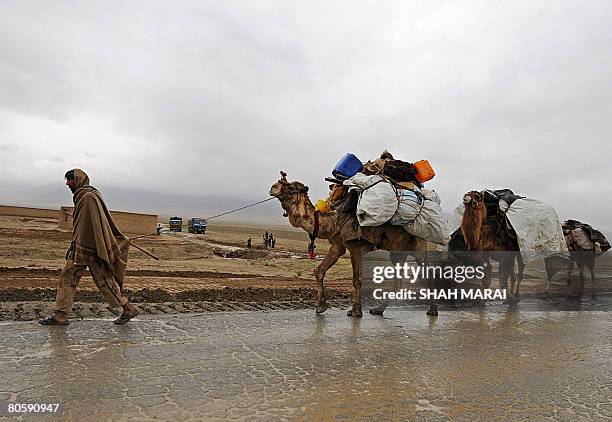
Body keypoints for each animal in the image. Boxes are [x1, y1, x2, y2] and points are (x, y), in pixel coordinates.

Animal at [268, 172, 436, 316]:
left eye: (291, 187)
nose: (273, 187)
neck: (333, 220)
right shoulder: (337, 245)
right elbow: (319, 270)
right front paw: (321, 307)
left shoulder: (354, 244)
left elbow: (357, 280)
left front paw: (355, 311)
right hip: (398, 251)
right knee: (398, 281)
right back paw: (378, 310)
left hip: (419, 244)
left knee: (428, 274)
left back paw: (432, 311)